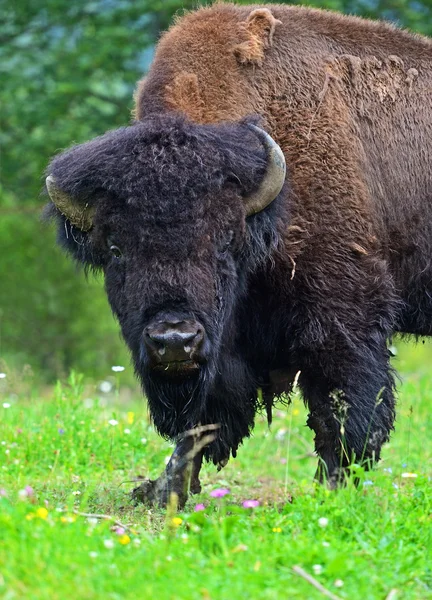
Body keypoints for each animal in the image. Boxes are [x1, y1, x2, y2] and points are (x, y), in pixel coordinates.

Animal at [44, 4, 432, 506]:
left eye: (225, 242)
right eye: (115, 249)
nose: (174, 339)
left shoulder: (346, 318)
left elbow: (342, 412)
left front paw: (331, 493)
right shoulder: (223, 346)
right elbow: (201, 423)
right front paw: (164, 492)